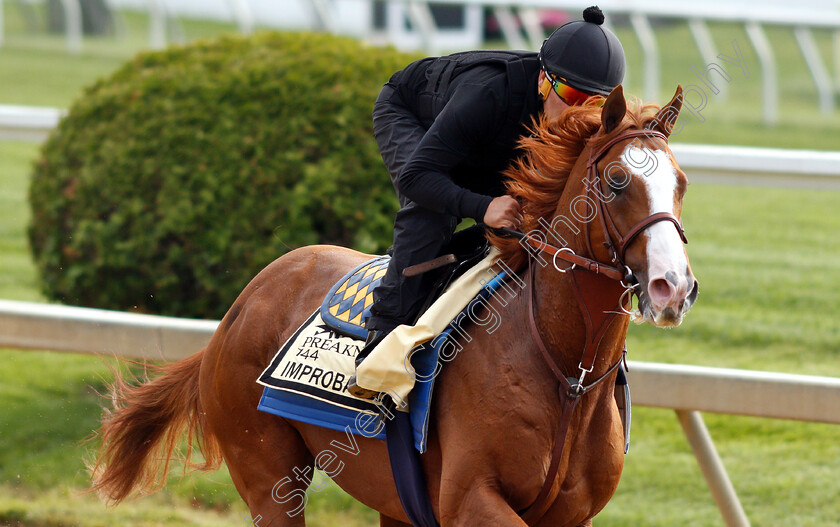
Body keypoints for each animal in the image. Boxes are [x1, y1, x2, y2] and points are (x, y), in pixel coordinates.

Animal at [92, 84, 700, 524]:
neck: (567, 374)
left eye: (681, 183)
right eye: (617, 181)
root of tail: (241, 305)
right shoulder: (471, 500)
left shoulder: (570, 515)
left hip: (392, 501)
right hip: (268, 476)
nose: (673, 287)